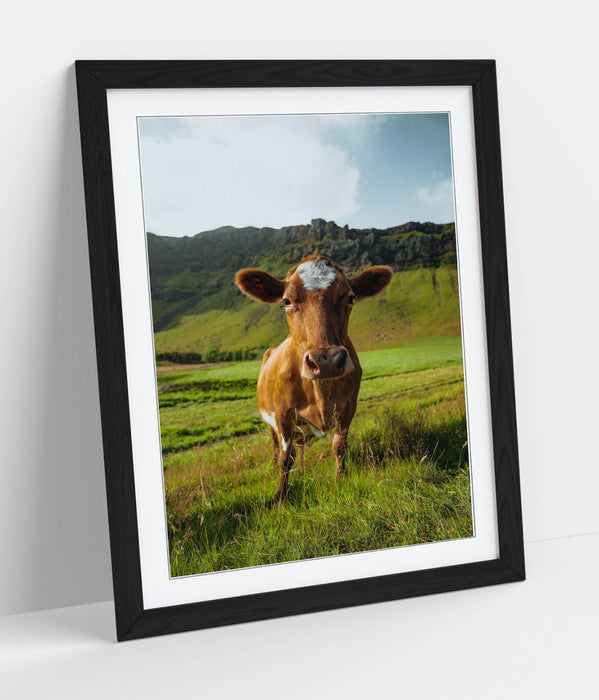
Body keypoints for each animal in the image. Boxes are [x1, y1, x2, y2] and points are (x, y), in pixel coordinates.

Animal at [235, 254, 392, 501]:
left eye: (350, 298)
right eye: (286, 301)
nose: (326, 361)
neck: (321, 394)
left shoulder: (348, 407)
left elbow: (339, 447)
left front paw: (340, 480)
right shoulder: (282, 414)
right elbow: (285, 457)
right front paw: (280, 495)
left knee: (301, 447)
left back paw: (303, 468)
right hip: (270, 421)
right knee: (275, 446)